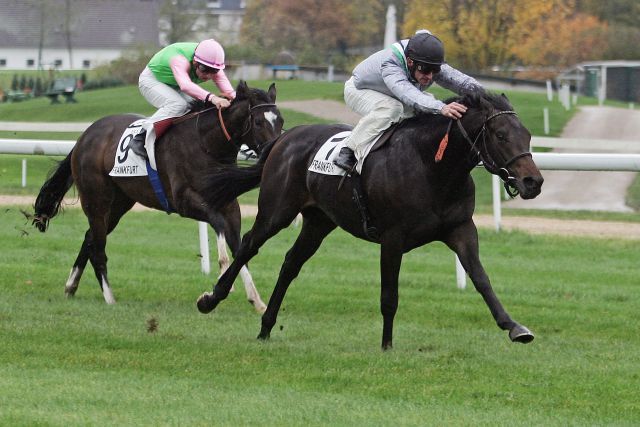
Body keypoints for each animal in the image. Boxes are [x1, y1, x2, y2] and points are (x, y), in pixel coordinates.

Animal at [32, 81, 282, 310]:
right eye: (258, 122)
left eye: (280, 121)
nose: (275, 149)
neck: (207, 144)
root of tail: (85, 136)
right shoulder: (185, 202)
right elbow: (219, 225)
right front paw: (222, 270)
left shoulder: (229, 207)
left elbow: (240, 248)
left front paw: (257, 300)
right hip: (96, 199)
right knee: (98, 248)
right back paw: (109, 298)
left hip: (119, 203)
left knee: (90, 238)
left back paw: (71, 286)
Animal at [196, 89, 544, 348]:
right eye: (501, 135)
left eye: (527, 134)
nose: (533, 182)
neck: (432, 167)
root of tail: (284, 137)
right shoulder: (392, 237)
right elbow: (389, 295)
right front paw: (386, 345)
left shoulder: (460, 229)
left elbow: (481, 278)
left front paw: (514, 327)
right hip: (277, 210)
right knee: (248, 246)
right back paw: (212, 299)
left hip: (319, 220)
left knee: (291, 263)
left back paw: (266, 326)